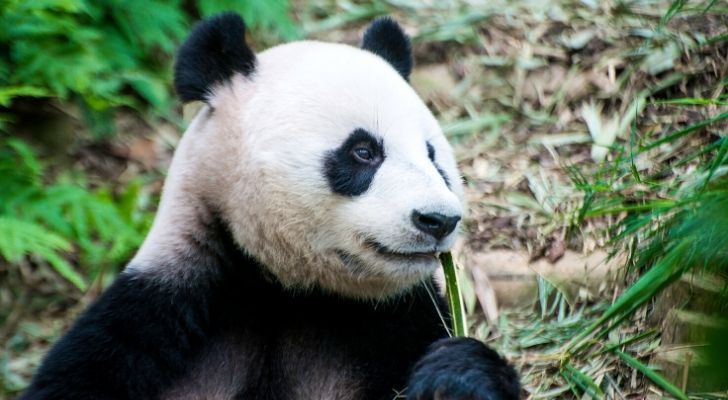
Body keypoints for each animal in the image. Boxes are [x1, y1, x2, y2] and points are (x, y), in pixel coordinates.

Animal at [19, 13, 520, 400]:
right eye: (363, 152)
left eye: (433, 155)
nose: (438, 220)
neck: (285, 290)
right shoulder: (150, 320)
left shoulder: (400, 324)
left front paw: (456, 376)